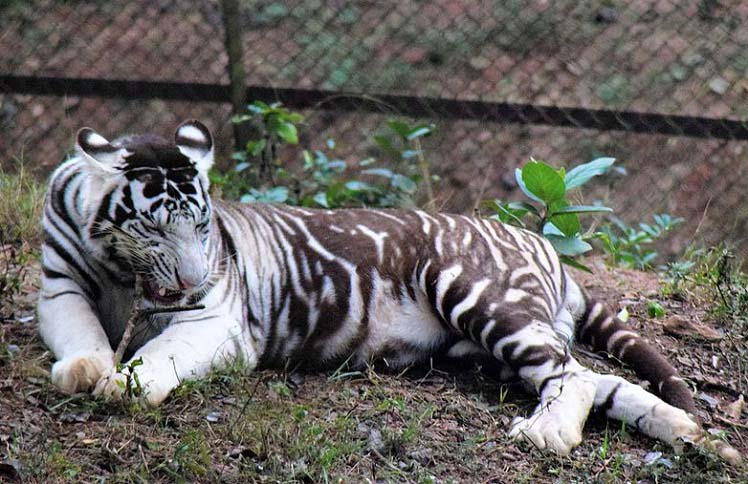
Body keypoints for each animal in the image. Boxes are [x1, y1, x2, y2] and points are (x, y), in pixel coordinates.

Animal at [38, 120, 741, 464]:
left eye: (203, 226)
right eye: (157, 225)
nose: (190, 278)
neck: (122, 271)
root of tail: (543, 247)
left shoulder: (214, 321)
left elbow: (157, 355)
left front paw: (124, 384)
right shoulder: (59, 285)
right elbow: (79, 332)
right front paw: (85, 369)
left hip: (483, 298)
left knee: (574, 378)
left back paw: (547, 435)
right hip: (487, 347)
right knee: (600, 380)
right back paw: (696, 438)